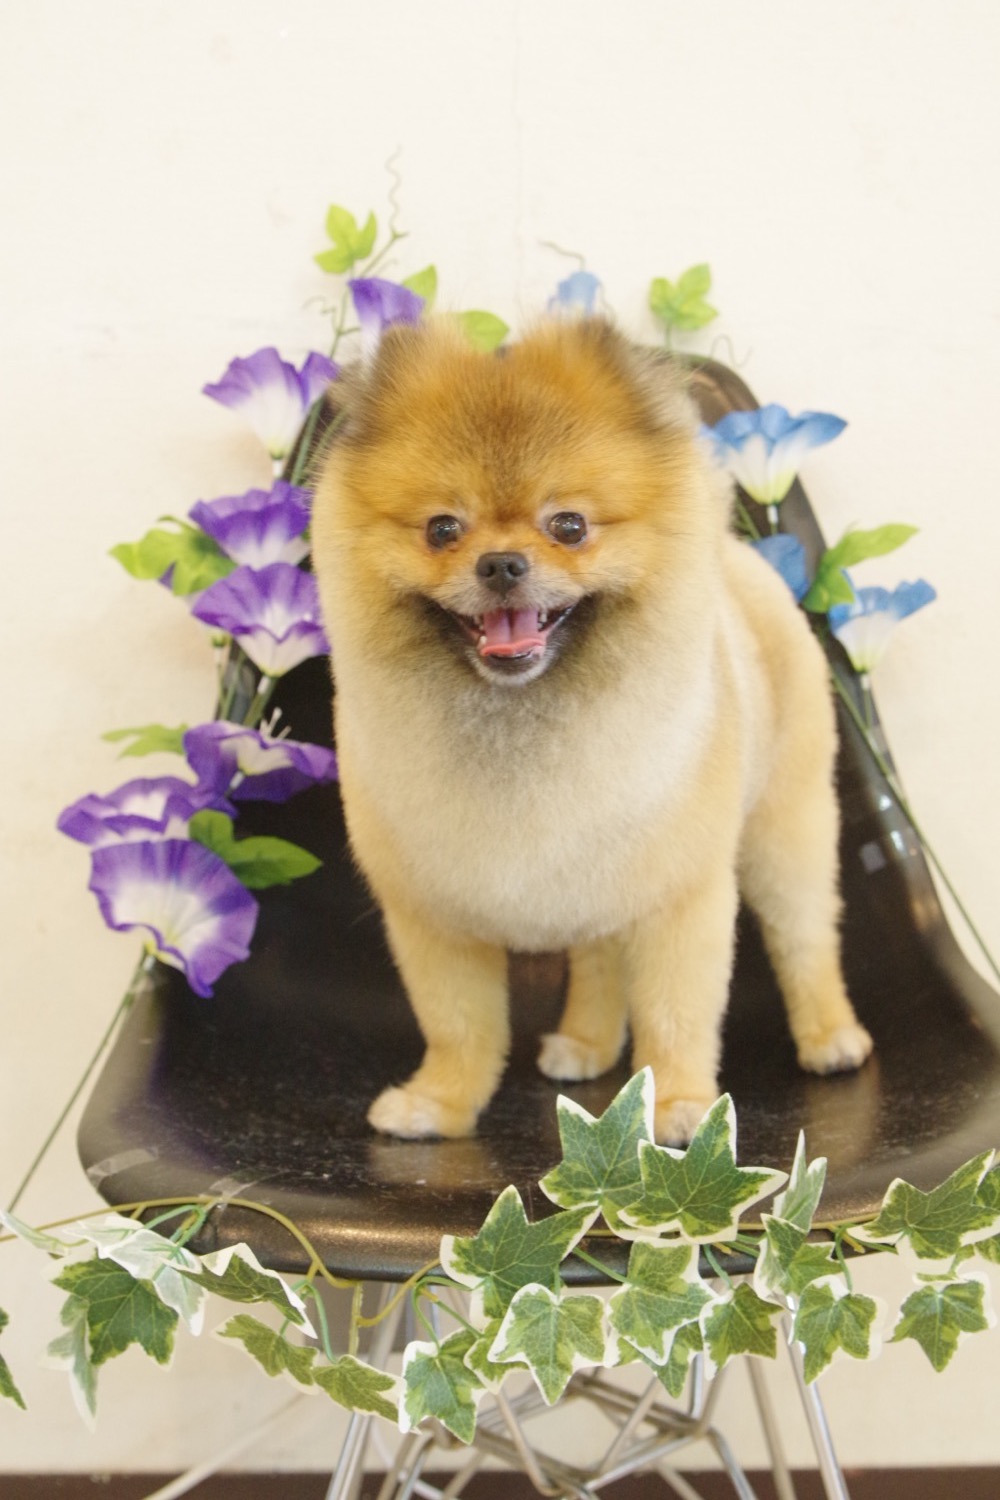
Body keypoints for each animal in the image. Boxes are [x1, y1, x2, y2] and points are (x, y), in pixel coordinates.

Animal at [309, 317, 873, 1144]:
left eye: (569, 525)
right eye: (442, 528)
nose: (501, 563)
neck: (521, 719)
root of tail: (741, 559)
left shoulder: (681, 898)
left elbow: (677, 1012)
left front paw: (679, 1109)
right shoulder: (433, 918)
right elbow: (458, 1025)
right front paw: (439, 1103)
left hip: (786, 825)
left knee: (806, 934)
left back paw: (831, 1037)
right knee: (602, 955)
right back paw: (586, 1042)